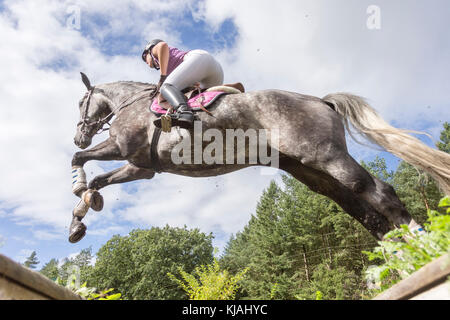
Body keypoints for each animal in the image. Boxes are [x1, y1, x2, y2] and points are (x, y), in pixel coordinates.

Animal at [70, 73, 450, 242]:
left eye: (80, 103)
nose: (78, 132)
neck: (130, 103)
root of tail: (321, 100)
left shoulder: (120, 148)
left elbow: (78, 159)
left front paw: (78, 192)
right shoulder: (141, 166)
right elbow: (98, 177)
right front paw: (80, 216)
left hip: (327, 157)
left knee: (376, 191)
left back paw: (423, 245)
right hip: (309, 170)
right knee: (360, 209)